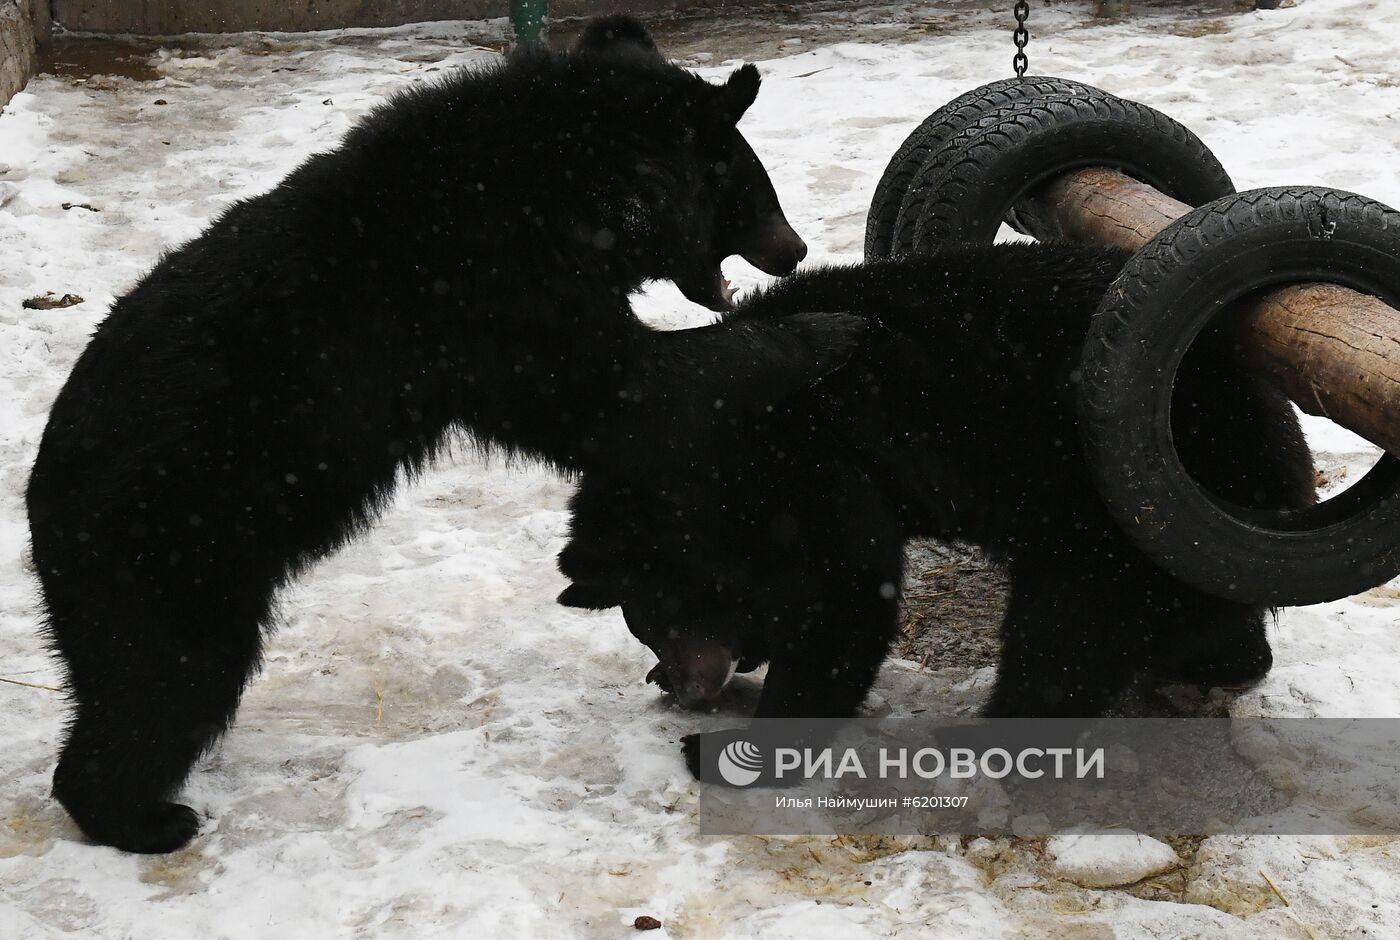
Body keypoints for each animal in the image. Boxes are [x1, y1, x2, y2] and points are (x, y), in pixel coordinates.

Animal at [27, 14, 862, 857]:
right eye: (752, 188)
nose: (794, 248)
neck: (563, 191)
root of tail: (40, 498)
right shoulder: (484, 287)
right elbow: (611, 385)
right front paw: (828, 326)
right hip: (171, 546)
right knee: (167, 678)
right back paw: (145, 816)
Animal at [554, 240, 1310, 773]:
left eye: (654, 617)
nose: (684, 684)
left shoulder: (810, 462)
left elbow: (844, 593)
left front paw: (734, 748)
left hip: (1120, 521)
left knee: (1062, 634)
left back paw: (985, 738)